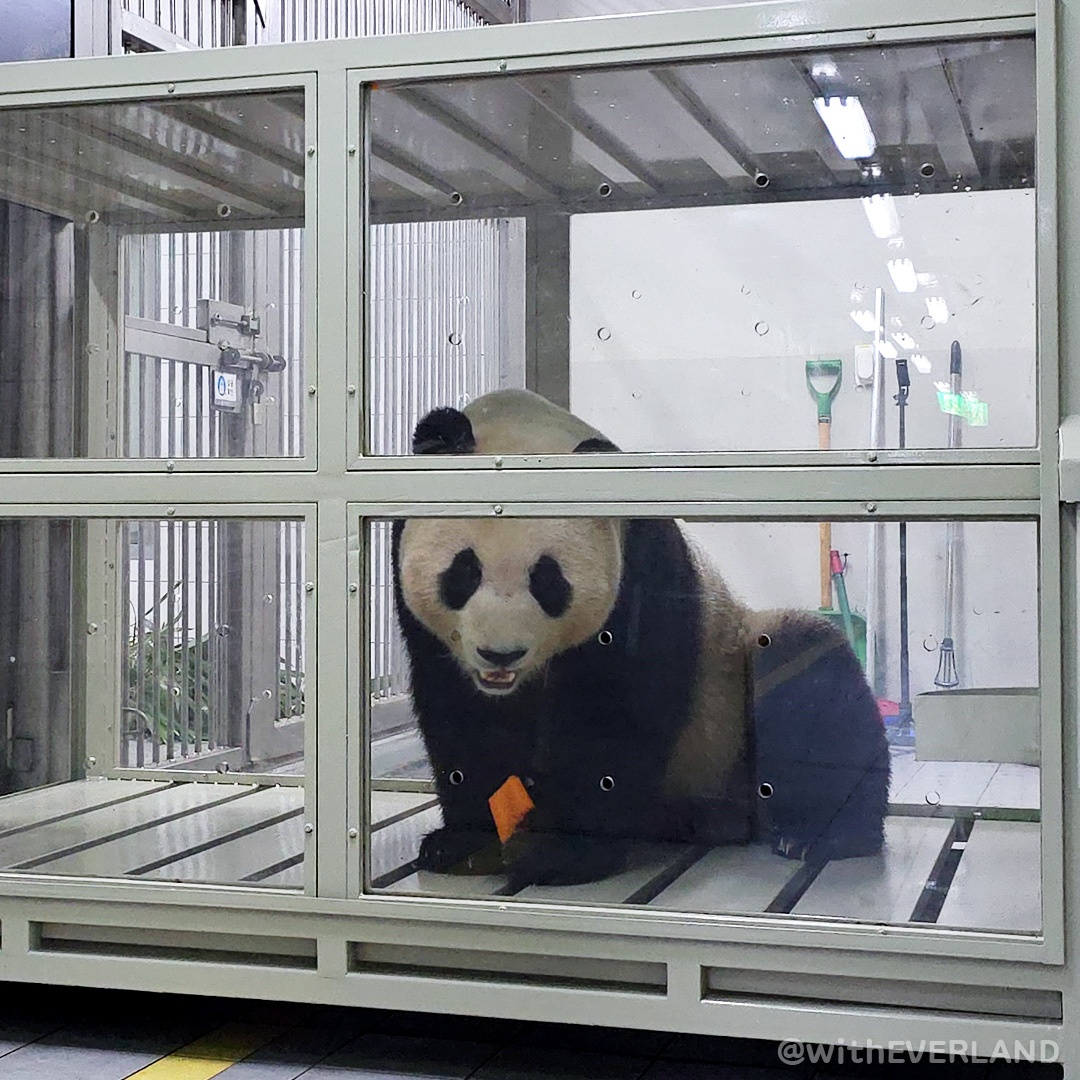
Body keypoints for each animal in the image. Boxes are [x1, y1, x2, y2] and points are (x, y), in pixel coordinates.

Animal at [393, 388, 889, 885]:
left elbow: (615, 713)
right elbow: (456, 714)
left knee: (813, 684)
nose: (500, 654)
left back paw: (823, 835)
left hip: (731, 712)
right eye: (464, 571)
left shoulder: (641, 568)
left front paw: (556, 849)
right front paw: (465, 841)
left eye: (548, 580)